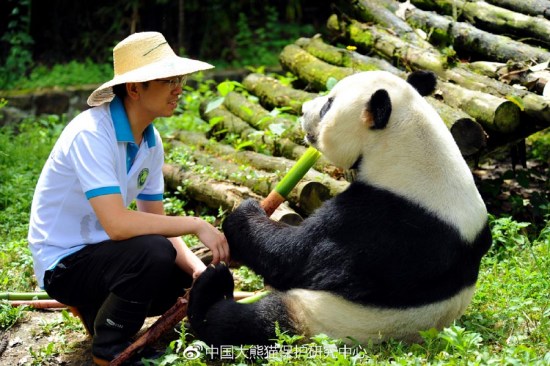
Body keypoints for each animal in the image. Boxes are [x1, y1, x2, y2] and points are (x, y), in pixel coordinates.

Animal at [188, 70, 494, 348]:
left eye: (328, 105)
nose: (303, 110)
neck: (410, 147)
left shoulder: (380, 223)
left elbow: (293, 259)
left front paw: (245, 213)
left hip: (322, 316)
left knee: (250, 320)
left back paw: (212, 286)